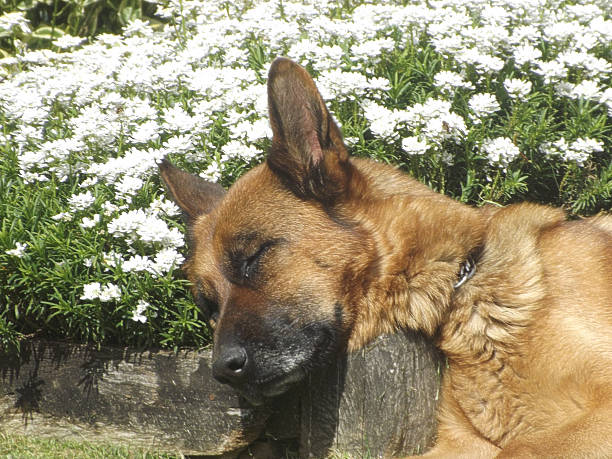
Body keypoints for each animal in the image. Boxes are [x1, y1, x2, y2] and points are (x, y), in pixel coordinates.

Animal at [161, 59, 612, 458]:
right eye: (209, 306)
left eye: (253, 258)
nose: (222, 370)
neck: (464, 286)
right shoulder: (463, 443)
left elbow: (520, 448)